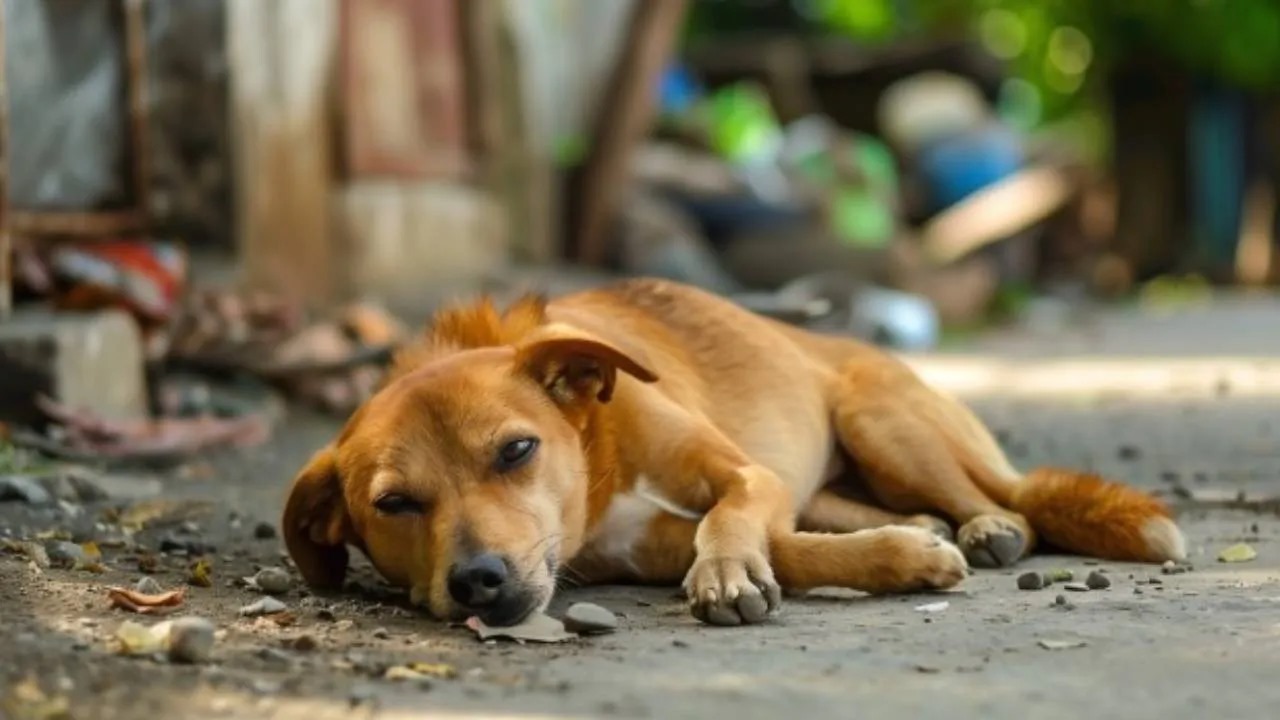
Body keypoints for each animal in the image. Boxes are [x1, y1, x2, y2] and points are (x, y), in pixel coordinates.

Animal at [285, 278, 1182, 625]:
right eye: (393, 505)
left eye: (516, 451)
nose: (478, 580)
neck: (599, 456)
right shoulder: (643, 548)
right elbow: (791, 549)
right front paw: (902, 556)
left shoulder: (746, 476)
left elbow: (733, 520)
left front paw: (724, 573)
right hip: (839, 476)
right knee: (867, 510)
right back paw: (929, 528)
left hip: (883, 422)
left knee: (1004, 499)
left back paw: (988, 526)